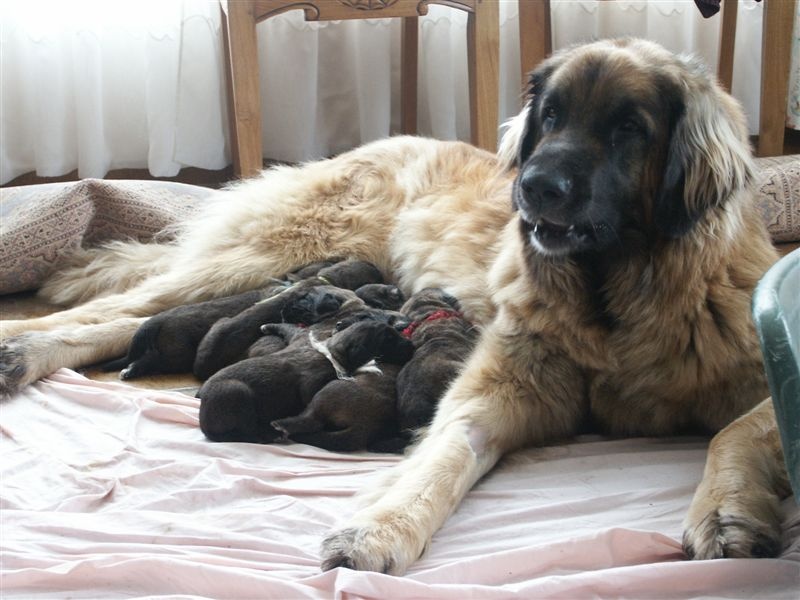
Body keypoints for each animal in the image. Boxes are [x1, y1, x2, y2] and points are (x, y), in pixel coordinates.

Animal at [0, 37, 792, 572]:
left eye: (629, 127)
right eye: (552, 117)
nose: (533, 186)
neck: (616, 297)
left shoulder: (757, 368)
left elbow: (737, 430)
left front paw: (726, 513)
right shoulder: (499, 384)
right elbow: (442, 451)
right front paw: (378, 530)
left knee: (141, 322)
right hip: (265, 257)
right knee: (109, 311)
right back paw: (25, 348)